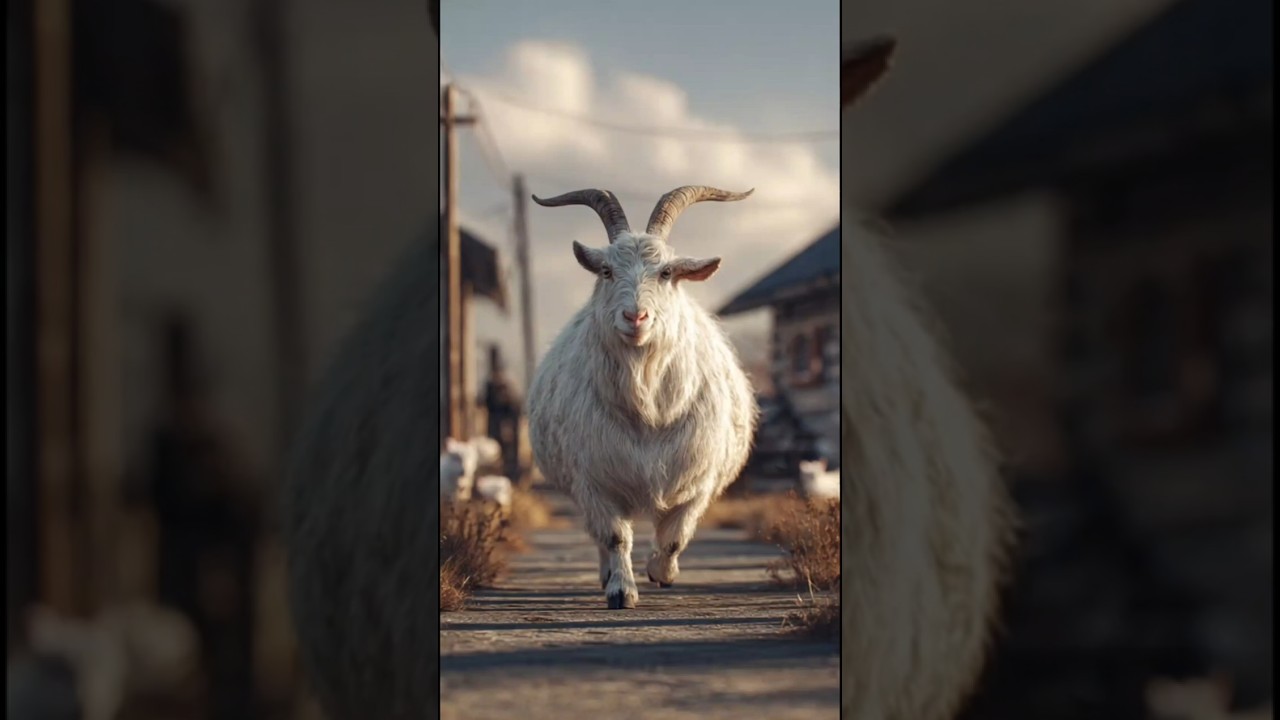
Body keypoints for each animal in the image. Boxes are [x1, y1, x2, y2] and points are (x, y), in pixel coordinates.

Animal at [526, 185, 759, 610]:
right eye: (606, 271)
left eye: (666, 272)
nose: (635, 317)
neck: (649, 410)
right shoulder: (595, 480)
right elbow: (615, 536)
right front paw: (622, 590)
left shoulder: (700, 478)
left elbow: (676, 536)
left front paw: (661, 572)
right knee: (600, 536)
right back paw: (607, 574)